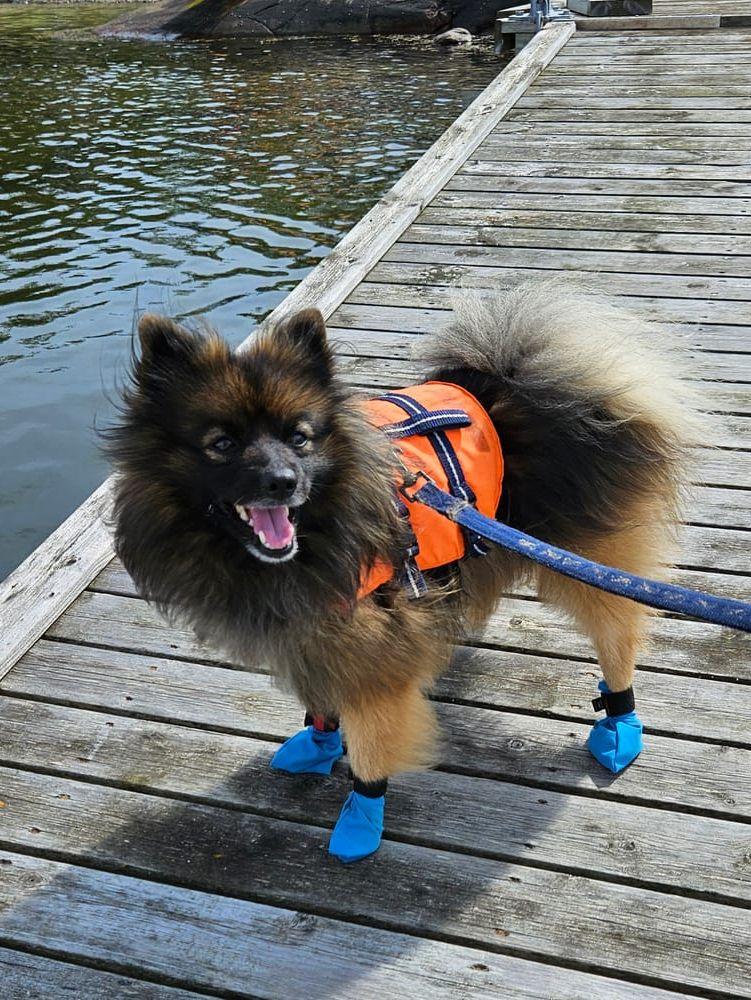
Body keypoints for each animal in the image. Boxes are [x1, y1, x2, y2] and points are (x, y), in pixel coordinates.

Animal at [108, 282, 696, 860]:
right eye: (222, 444)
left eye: (300, 437)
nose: (281, 481)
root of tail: (520, 378)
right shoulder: (312, 632)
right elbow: (323, 698)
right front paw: (319, 740)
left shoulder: (374, 647)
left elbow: (372, 743)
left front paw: (361, 815)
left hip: (584, 558)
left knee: (617, 634)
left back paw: (620, 723)